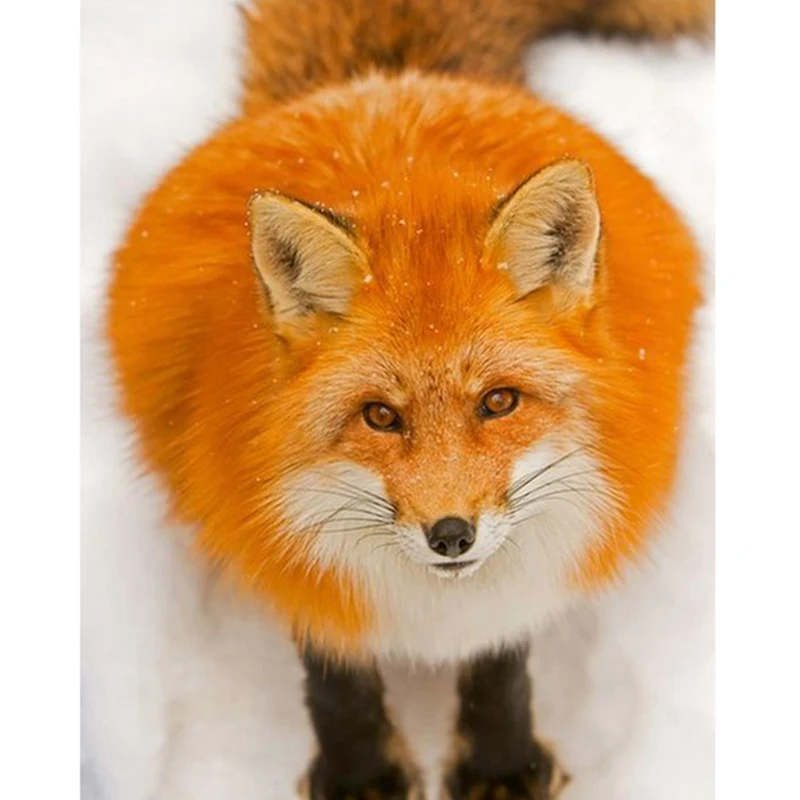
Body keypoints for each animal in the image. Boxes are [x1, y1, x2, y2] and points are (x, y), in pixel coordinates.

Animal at [106, 0, 712, 798]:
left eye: (499, 402)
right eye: (380, 416)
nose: (450, 534)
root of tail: (386, 81)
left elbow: (501, 660)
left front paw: (499, 764)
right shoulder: (274, 536)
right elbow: (335, 677)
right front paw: (358, 774)